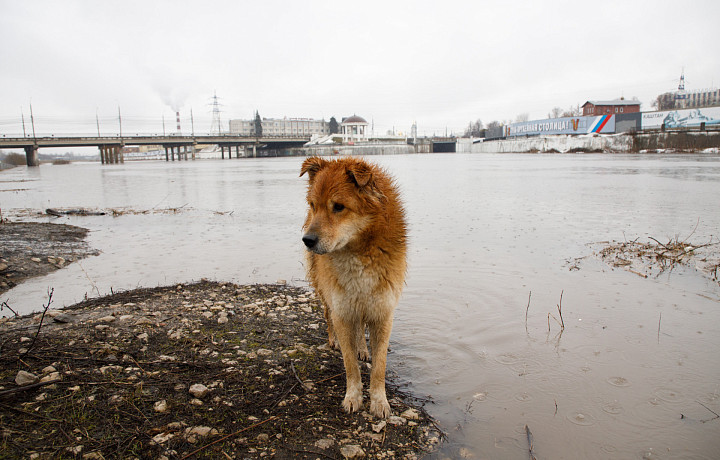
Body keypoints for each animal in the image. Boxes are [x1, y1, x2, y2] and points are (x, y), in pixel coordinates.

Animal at [300, 156, 408, 418]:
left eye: (338, 206)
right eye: (313, 205)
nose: (307, 240)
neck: (358, 250)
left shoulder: (382, 311)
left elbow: (379, 366)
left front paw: (379, 401)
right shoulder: (342, 309)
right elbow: (350, 364)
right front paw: (353, 397)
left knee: (360, 327)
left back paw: (362, 348)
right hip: (326, 293)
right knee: (328, 316)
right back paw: (333, 340)